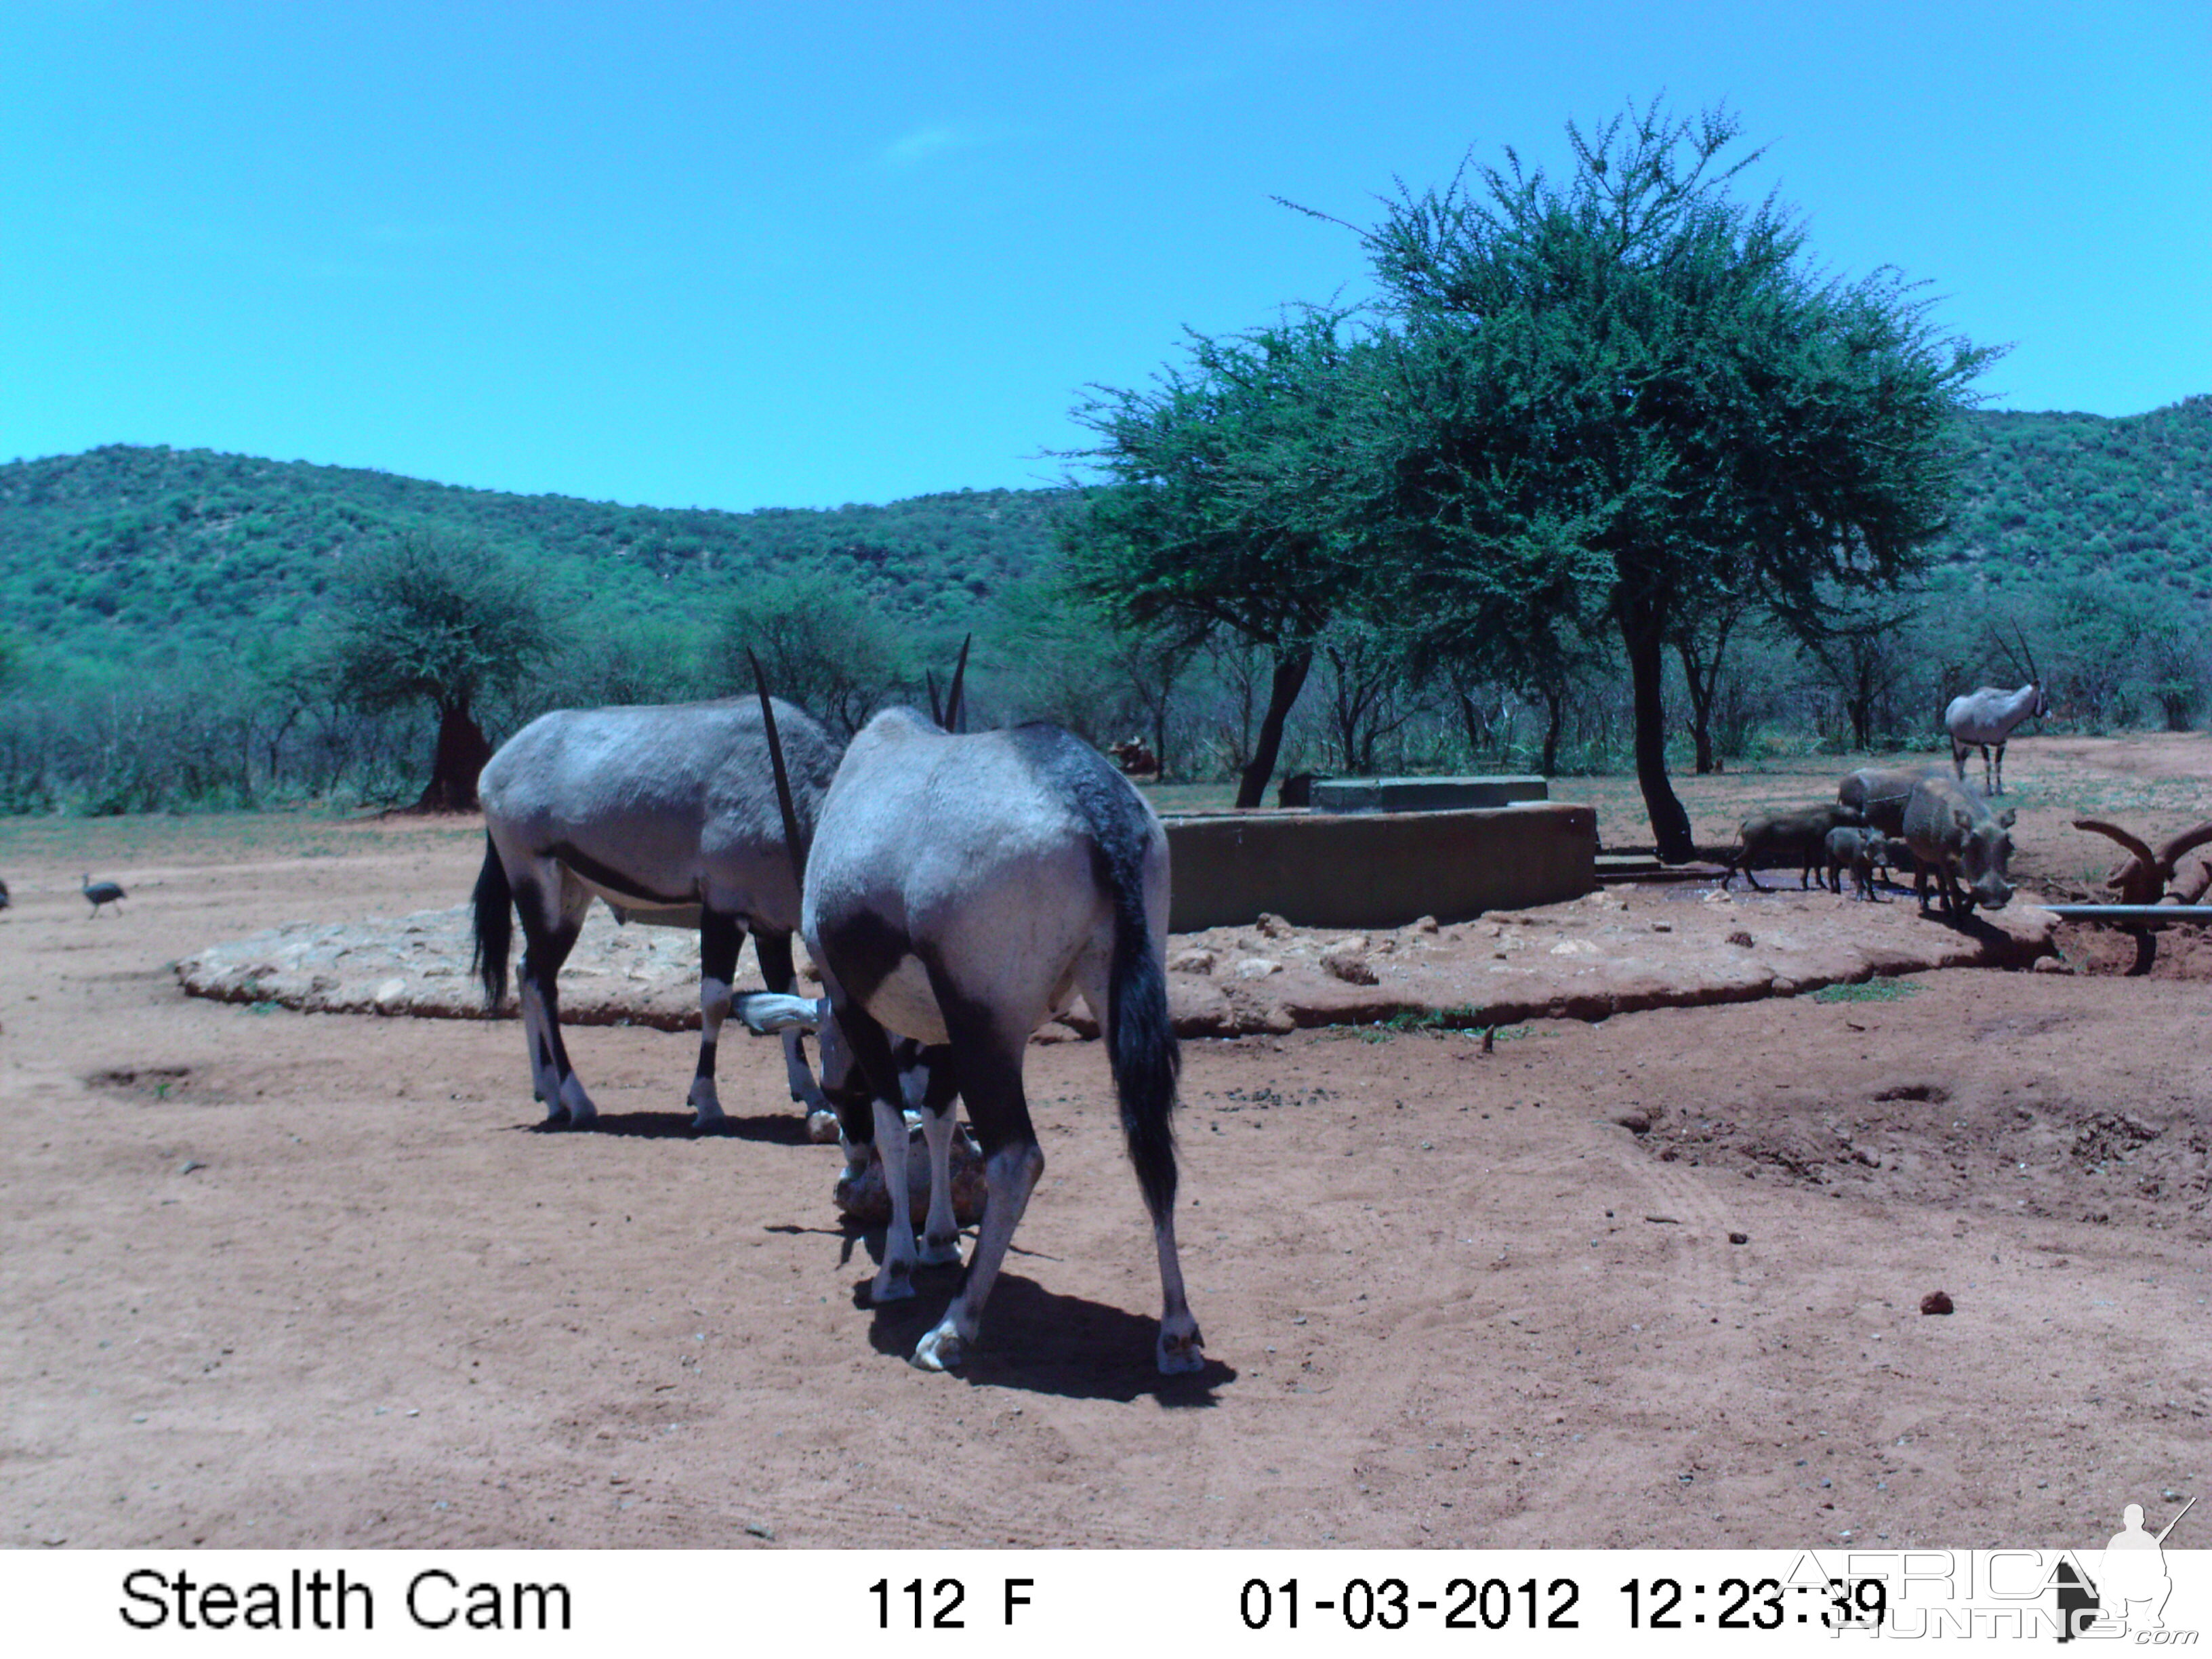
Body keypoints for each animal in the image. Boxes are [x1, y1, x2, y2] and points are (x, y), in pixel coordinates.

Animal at [471, 694, 840, 1141]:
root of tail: (495, 766)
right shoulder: (724, 910)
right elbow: (716, 1000)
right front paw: (707, 1103)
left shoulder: (771, 926)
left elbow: (787, 996)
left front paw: (814, 1100)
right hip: (536, 886)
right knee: (543, 982)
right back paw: (578, 1101)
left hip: (569, 900)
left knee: (527, 970)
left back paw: (551, 1097)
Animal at [743, 676, 1203, 1380]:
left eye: (831, 1062)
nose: (846, 1170)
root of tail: (1090, 801)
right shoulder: (944, 1031)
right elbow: (937, 1120)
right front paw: (937, 1241)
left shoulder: (858, 1006)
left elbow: (895, 1127)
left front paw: (899, 1269)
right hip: (1113, 991)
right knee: (1151, 1143)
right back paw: (1176, 1334)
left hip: (990, 1025)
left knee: (1017, 1157)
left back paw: (951, 1330)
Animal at [1946, 628, 2043, 800]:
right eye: (2043, 695)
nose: (2048, 713)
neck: (2002, 710)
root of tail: (1952, 705)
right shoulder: (1984, 744)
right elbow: (1988, 765)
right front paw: (1989, 790)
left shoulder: (2002, 743)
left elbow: (1998, 765)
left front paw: (2000, 789)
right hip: (1955, 740)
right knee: (1957, 760)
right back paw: (1961, 787)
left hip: (1967, 744)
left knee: (1962, 761)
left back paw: (1964, 785)